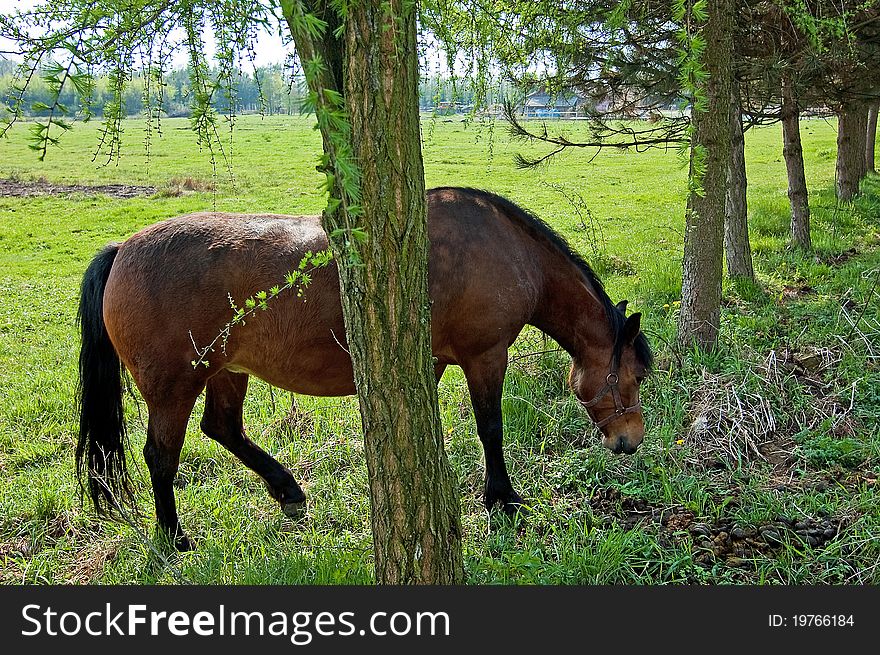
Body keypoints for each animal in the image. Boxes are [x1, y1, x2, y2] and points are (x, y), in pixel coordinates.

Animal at [77, 187, 652, 552]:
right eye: (636, 375)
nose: (629, 440)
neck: (505, 250)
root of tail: (123, 250)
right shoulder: (485, 356)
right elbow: (491, 428)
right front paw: (503, 499)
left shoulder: (430, 362)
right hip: (174, 387)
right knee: (161, 458)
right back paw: (174, 538)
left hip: (226, 370)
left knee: (222, 428)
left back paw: (287, 491)